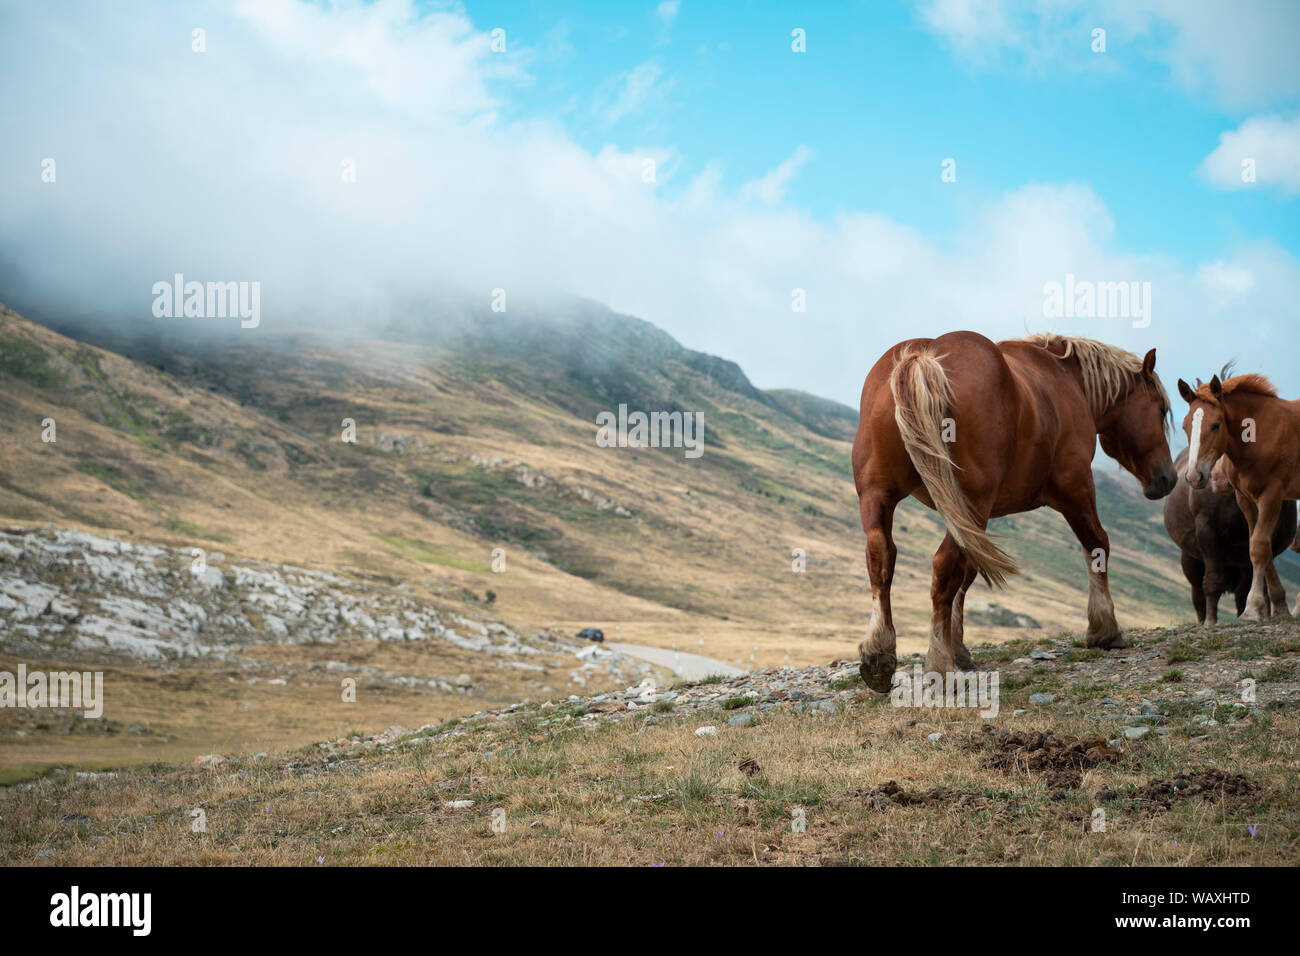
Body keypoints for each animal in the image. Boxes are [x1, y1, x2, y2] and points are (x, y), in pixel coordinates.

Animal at [852, 332, 1177, 693]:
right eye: (1161, 409)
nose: (1168, 478)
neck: (1065, 377)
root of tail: (922, 357)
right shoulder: (1075, 487)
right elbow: (1097, 544)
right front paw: (1105, 628)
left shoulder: (970, 521)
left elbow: (968, 575)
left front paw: (960, 648)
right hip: (973, 501)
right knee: (943, 565)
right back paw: (940, 665)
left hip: (879, 495)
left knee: (881, 554)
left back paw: (879, 656)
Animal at [1163, 449, 1296, 623]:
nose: (1219, 477)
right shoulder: (1207, 532)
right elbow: (1213, 581)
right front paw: (1210, 621)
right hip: (1190, 559)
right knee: (1198, 594)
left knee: (1242, 591)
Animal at [1177, 373, 1300, 618]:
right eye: (1185, 426)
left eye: (1216, 425)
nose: (1194, 476)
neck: (1261, 435)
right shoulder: (1246, 499)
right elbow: (1259, 545)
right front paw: (1277, 606)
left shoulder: (1272, 496)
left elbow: (1259, 546)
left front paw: (1252, 609)